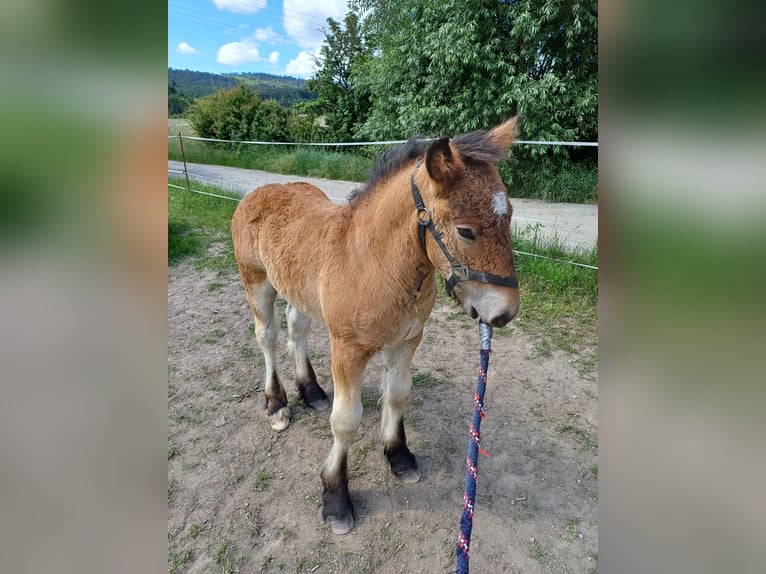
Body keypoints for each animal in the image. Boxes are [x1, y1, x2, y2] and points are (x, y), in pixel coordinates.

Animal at [231, 117, 520, 536]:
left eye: (510, 215)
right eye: (466, 231)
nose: (504, 313)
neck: (374, 262)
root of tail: (264, 190)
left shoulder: (408, 340)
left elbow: (397, 395)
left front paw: (399, 457)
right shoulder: (347, 349)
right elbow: (345, 421)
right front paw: (336, 498)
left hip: (298, 289)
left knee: (296, 328)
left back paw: (312, 391)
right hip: (256, 281)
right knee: (267, 336)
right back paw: (277, 404)